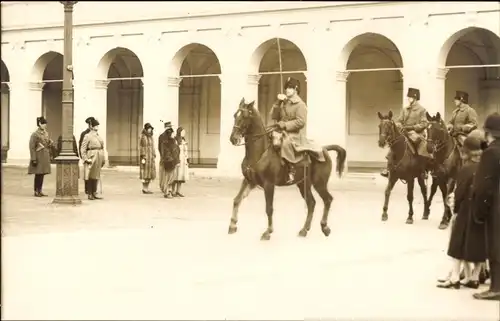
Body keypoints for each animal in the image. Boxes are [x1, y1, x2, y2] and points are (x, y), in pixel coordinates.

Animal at [229, 97, 346, 240]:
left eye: (245, 116)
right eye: (235, 115)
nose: (233, 138)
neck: (259, 153)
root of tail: (324, 149)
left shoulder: (269, 184)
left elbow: (269, 208)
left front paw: (268, 232)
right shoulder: (249, 181)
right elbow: (237, 200)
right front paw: (232, 225)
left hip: (319, 183)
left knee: (327, 200)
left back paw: (324, 227)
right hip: (303, 184)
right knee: (311, 203)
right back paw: (304, 230)